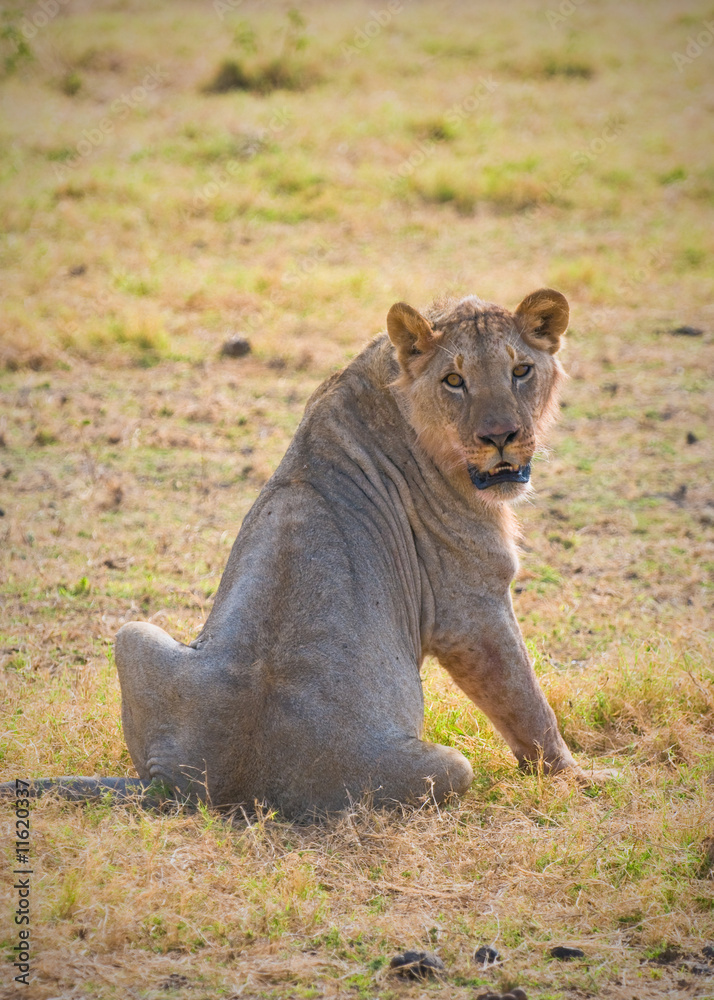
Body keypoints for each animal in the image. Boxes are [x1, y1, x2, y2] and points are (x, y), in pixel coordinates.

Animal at [3, 289, 607, 815]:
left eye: (521, 371)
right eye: (454, 380)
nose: (501, 436)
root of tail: (187, 786)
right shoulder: (472, 604)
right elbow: (527, 702)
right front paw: (579, 780)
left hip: (132, 633)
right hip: (450, 769)